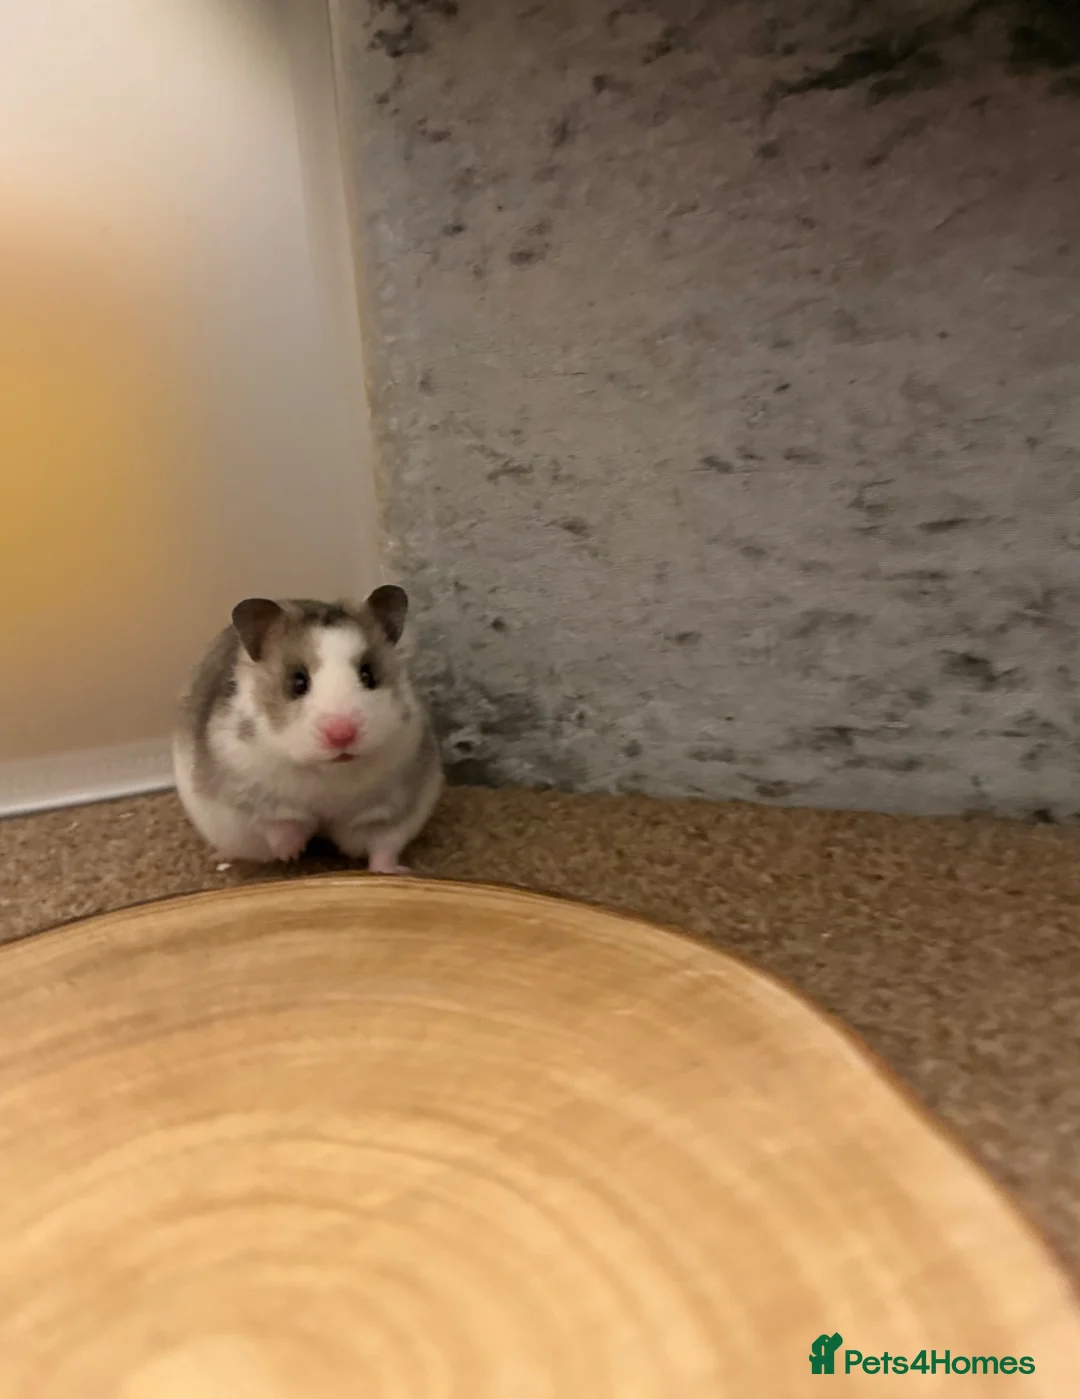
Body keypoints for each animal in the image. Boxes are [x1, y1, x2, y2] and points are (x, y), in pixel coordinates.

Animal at [173, 585, 443, 873]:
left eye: (368, 675)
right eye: (298, 682)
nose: (341, 735)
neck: (327, 772)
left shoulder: (390, 808)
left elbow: (383, 845)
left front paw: (395, 872)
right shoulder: (245, 792)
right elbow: (279, 823)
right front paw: (291, 853)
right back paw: (221, 857)